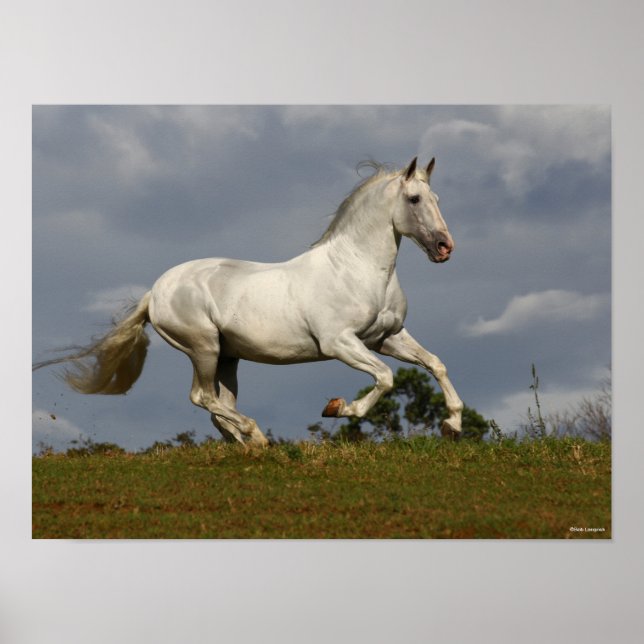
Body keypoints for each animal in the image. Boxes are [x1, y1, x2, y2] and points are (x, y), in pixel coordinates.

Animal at [33, 156, 463, 446]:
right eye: (414, 199)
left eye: (438, 198)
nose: (445, 248)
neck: (356, 268)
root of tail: (156, 291)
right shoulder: (340, 343)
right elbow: (385, 378)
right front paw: (339, 408)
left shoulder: (386, 338)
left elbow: (435, 364)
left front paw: (452, 425)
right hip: (204, 347)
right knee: (202, 397)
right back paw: (256, 436)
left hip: (228, 357)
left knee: (218, 408)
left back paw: (247, 443)